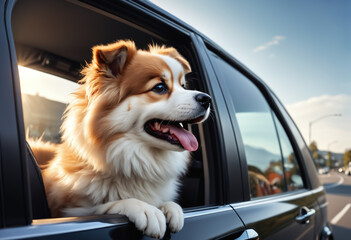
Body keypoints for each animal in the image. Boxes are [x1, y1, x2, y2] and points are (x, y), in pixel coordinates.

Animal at [31, 39, 210, 238]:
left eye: (183, 86)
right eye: (159, 87)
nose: (206, 99)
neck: (134, 158)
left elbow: (170, 203)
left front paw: (172, 208)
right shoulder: (66, 210)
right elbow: (102, 207)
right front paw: (145, 209)